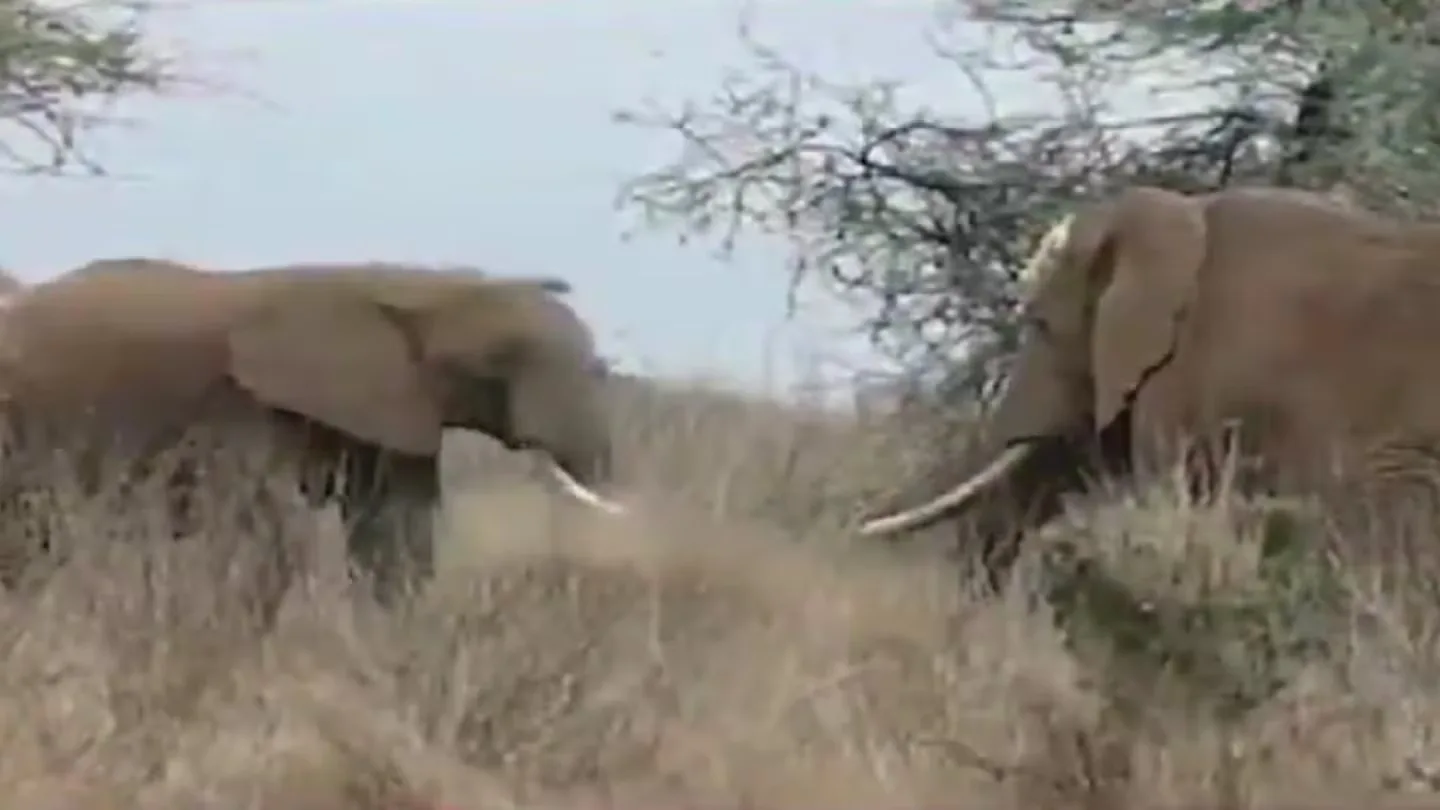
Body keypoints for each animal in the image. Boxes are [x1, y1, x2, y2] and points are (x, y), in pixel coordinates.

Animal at [0, 258, 626, 610]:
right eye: (499, 360)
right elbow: (257, 527)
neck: (409, 285)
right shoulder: (242, 403)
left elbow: (394, 528)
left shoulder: (394, 406)